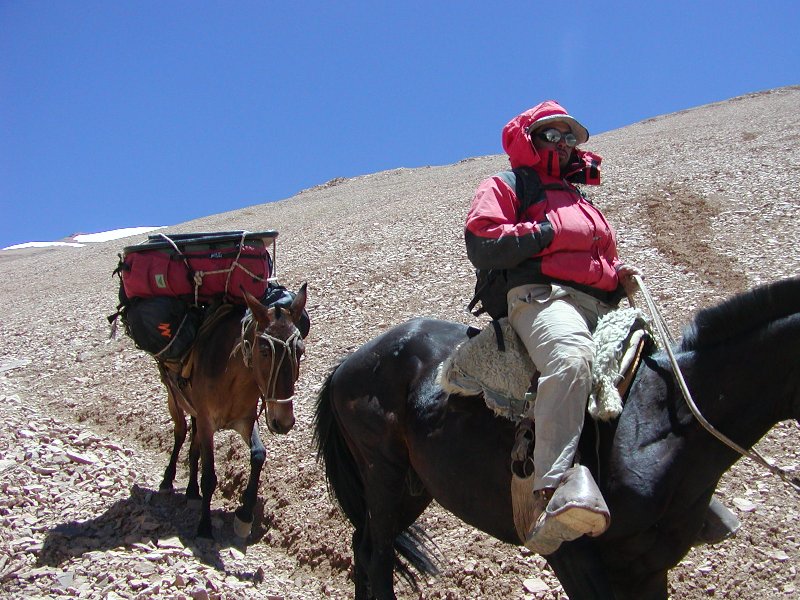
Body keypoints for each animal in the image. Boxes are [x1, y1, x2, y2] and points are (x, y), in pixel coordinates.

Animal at [159, 284, 306, 540]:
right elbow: (209, 475)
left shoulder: (244, 420)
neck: (232, 378)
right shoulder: (207, 422)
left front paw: (245, 515)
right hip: (173, 396)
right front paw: (204, 527)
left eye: (300, 351)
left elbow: (258, 454)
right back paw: (168, 479)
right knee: (180, 432)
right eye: (264, 351)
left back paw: (191, 491)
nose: (283, 422)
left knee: (193, 444)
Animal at [316, 278, 800, 600]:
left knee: (364, 549)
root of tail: (348, 364)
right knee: (378, 557)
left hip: (414, 488)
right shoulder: (573, 557)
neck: (656, 422)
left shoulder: (648, 568)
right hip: (383, 477)